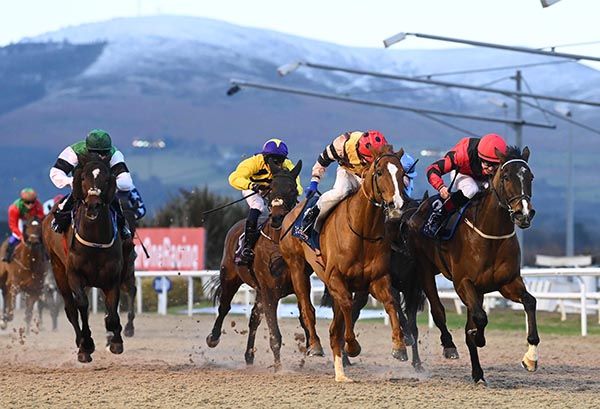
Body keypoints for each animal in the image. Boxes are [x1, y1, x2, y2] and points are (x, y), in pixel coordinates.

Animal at [42, 152, 132, 360]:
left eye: (106, 178)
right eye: (83, 177)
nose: (93, 206)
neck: (95, 241)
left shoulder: (112, 277)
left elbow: (112, 310)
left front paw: (115, 341)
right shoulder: (74, 275)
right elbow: (82, 305)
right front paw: (86, 345)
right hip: (58, 270)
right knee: (70, 309)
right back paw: (80, 343)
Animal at [207, 159, 328, 366]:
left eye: (292, 190)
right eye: (271, 189)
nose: (277, 218)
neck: (278, 243)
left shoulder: (297, 284)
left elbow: (305, 313)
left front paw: (312, 345)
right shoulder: (270, 291)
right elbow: (275, 335)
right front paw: (278, 368)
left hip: (258, 291)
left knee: (254, 318)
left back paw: (249, 356)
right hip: (230, 277)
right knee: (224, 307)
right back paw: (213, 338)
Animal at [280, 145, 410, 380]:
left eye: (402, 173)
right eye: (379, 173)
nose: (397, 205)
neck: (363, 231)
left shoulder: (377, 279)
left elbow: (390, 303)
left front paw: (399, 346)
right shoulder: (336, 278)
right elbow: (347, 307)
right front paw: (352, 345)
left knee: (333, 323)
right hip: (297, 267)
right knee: (307, 306)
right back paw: (315, 345)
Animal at [408, 146, 540, 382]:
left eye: (530, 177)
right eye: (506, 177)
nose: (524, 213)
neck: (491, 235)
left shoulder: (507, 283)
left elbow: (530, 302)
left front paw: (530, 359)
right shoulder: (463, 283)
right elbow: (479, 318)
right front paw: (478, 338)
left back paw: (478, 373)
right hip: (424, 269)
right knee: (438, 310)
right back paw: (449, 346)